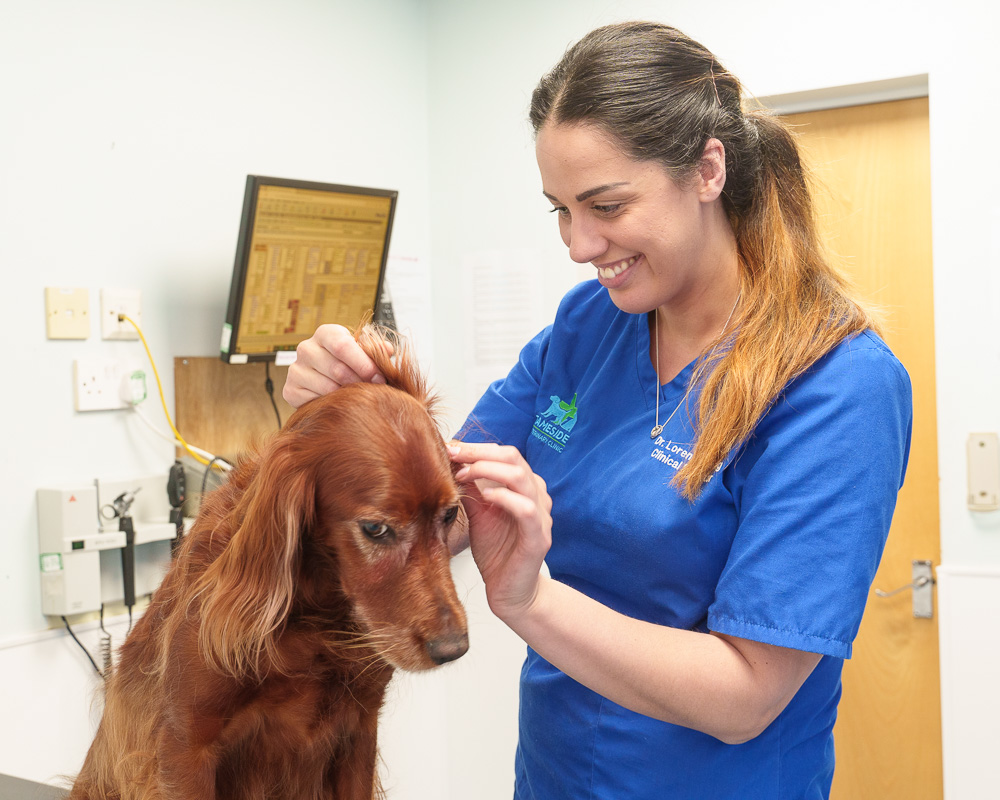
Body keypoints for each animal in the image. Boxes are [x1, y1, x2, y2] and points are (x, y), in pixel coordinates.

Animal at [70, 326, 468, 800]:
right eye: (375, 529)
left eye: (450, 514)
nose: (453, 648)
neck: (315, 612)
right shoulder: (185, 745)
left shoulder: (359, 730)